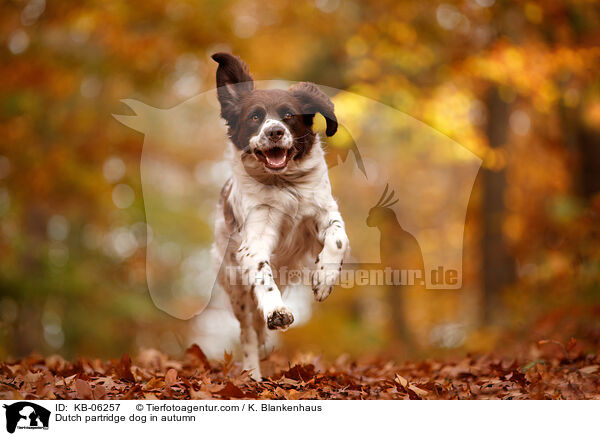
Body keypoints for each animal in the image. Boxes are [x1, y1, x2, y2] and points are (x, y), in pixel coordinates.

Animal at [210, 52, 346, 376]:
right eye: (255, 117)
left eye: (288, 115)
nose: (275, 132)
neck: (285, 186)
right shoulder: (255, 239)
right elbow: (262, 274)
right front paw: (277, 311)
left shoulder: (323, 212)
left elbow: (338, 239)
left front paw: (324, 278)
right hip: (235, 287)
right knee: (248, 333)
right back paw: (252, 374)